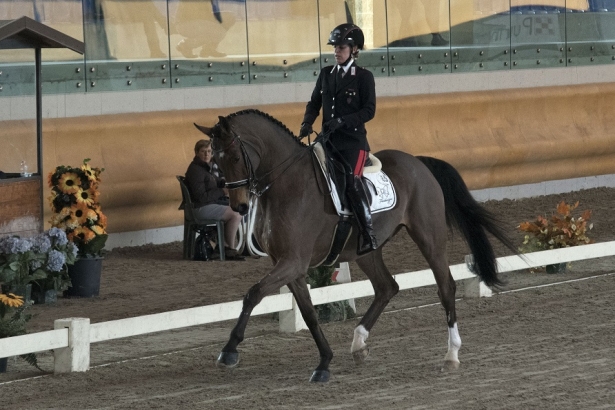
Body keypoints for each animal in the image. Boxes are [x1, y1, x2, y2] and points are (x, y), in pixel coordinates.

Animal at [196, 108, 516, 382]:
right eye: (215, 162)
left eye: (235, 156)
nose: (239, 206)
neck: (287, 184)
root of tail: (418, 161)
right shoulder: (290, 265)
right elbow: (309, 313)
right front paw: (324, 362)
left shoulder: (293, 261)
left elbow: (253, 294)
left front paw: (229, 351)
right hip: (366, 251)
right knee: (387, 287)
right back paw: (359, 343)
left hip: (429, 236)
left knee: (445, 287)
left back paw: (451, 355)